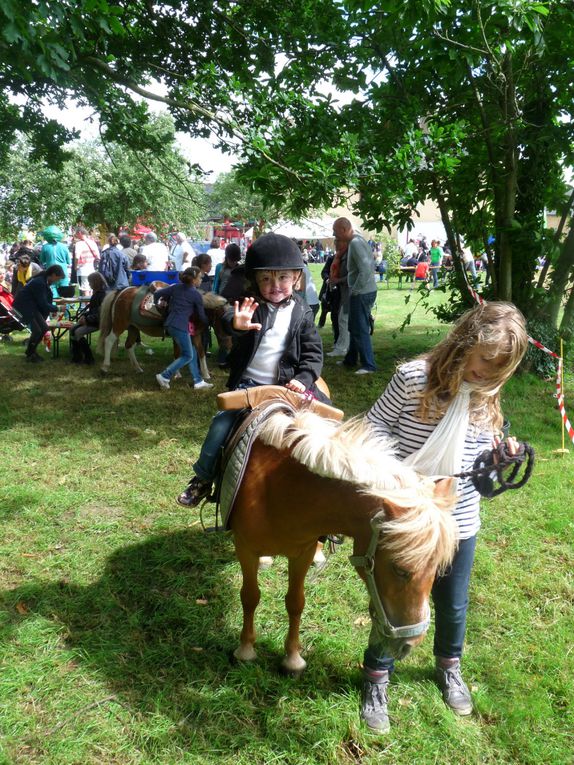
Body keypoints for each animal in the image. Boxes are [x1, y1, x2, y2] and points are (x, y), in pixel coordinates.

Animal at [97, 284, 227, 376]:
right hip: (119, 324)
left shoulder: (195, 335)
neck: (192, 308)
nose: (223, 337)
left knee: (129, 345)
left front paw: (206, 374)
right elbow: (178, 354)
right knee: (109, 340)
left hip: (133, 328)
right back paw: (104, 367)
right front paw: (176, 374)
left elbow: (201, 352)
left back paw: (138, 368)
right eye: (222, 319)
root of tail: (120, 292)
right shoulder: (178, 336)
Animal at [230, 408, 460, 672]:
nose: (411, 643)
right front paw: (245, 650)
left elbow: (296, 602)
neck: (279, 489)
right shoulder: (245, 548)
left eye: (438, 569)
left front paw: (293, 658)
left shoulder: (302, 552)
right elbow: (250, 596)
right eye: (400, 570)